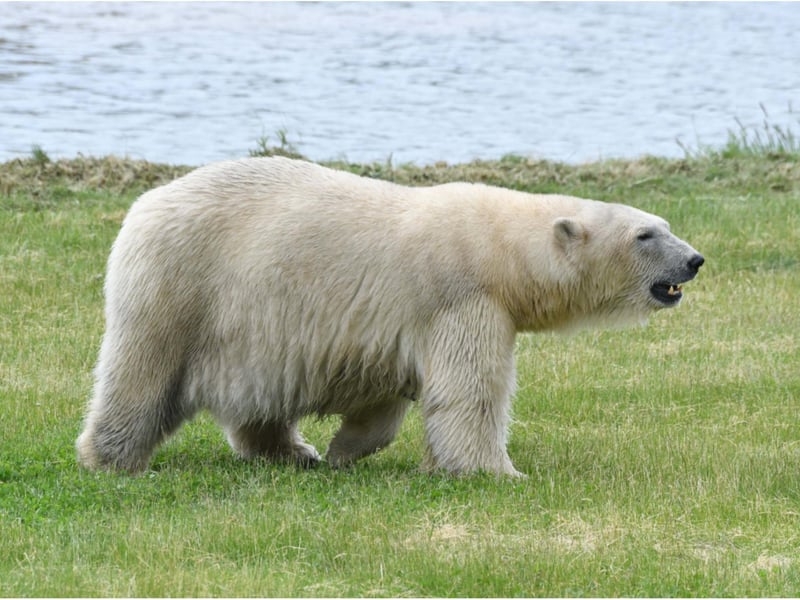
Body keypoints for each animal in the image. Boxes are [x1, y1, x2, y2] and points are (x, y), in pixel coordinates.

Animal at [76, 156, 704, 477]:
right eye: (646, 235)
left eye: (665, 224)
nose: (695, 259)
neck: (499, 249)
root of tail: (144, 204)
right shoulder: (461, 298)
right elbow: (469, 391)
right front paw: (496, 471)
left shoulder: (400, 323)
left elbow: (387, 400)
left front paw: (342, 449)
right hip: (180, 287)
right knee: (141, 374)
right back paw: (111, 457)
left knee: (260, 400)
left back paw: (294, 451)